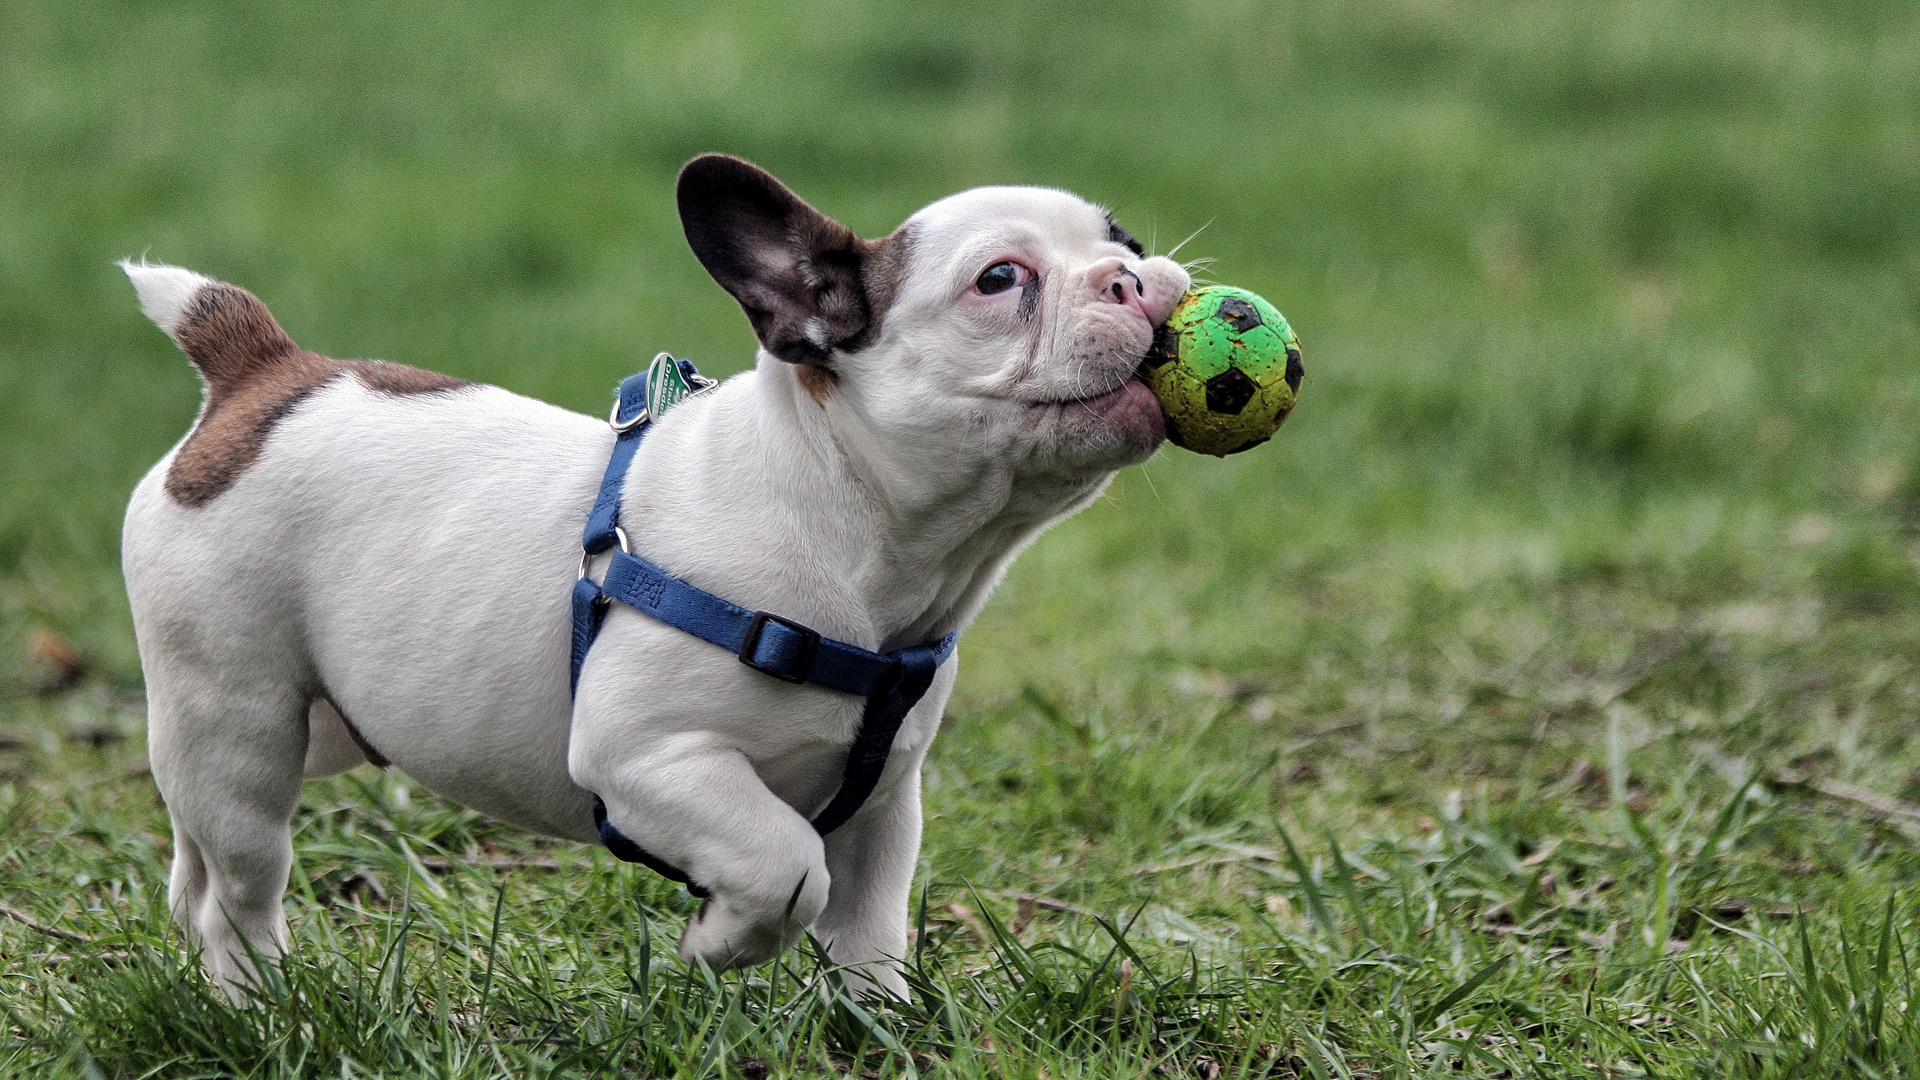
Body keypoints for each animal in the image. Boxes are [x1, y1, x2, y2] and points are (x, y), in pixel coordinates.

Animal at [120, 155, 1182, 999]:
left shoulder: (885, 803)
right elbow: (789, 867)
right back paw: (263, 1007)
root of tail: (262, 374)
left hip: (321, 726)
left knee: (195, 855)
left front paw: (879, 1029)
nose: (1135, 277)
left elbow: (869, 930)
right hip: (242, 724)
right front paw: (716, 948)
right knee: (240, 887)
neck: (855, 528)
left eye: (1122, 238)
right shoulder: (651, 759)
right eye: (1000, 280)